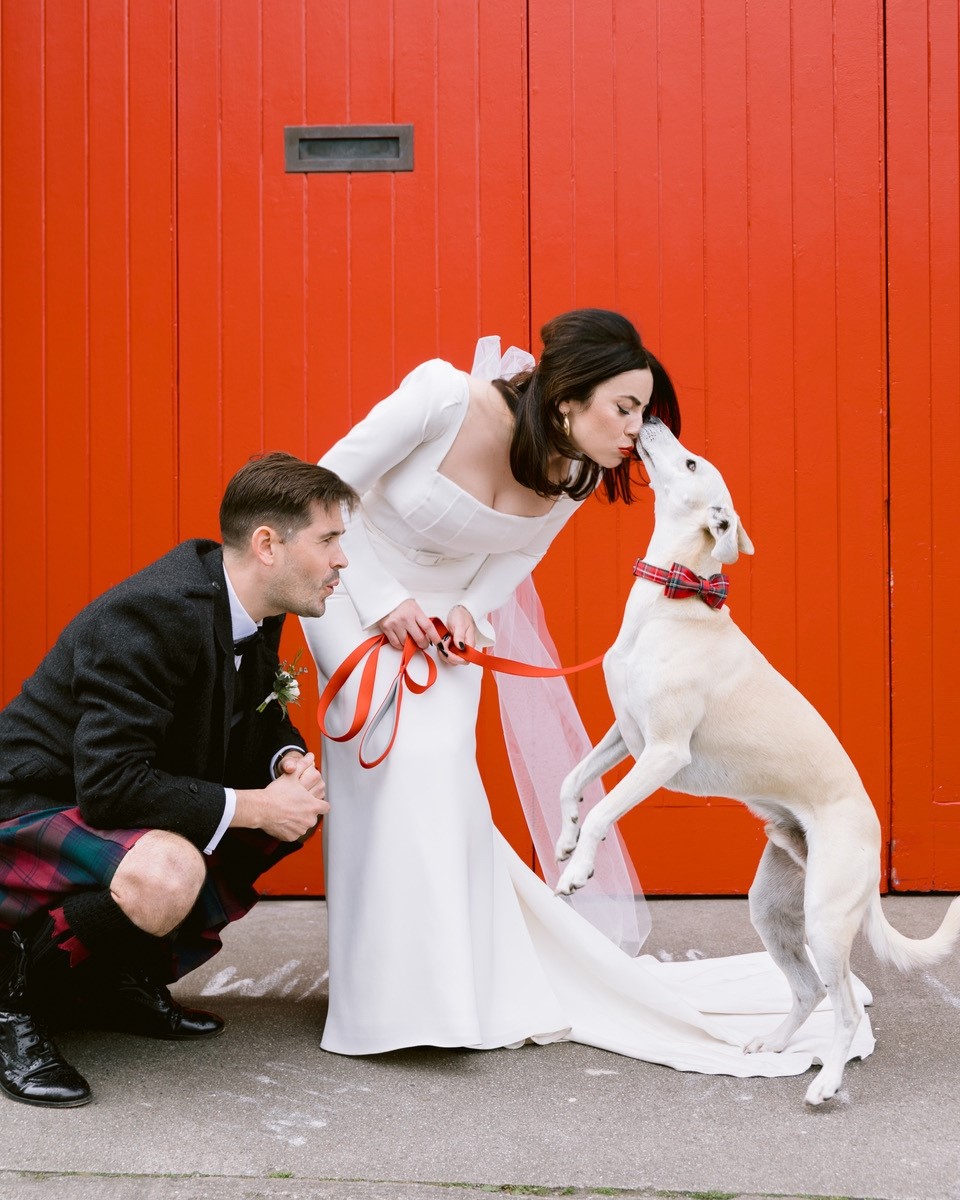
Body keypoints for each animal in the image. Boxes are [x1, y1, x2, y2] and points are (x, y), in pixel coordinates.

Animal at [554, 420, 960, 1104]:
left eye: (692, 461)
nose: (652, 420)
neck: (676, 595)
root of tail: (873, 829)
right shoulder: (626, 735)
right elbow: (572, 781)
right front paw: (563, 840)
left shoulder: (662, 752)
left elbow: (607, 809)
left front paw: (578, 869)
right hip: (772, 909)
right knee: (808, 989)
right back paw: (772, 1044)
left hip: (825, 918)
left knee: (843, 1006)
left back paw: (826, 1082)